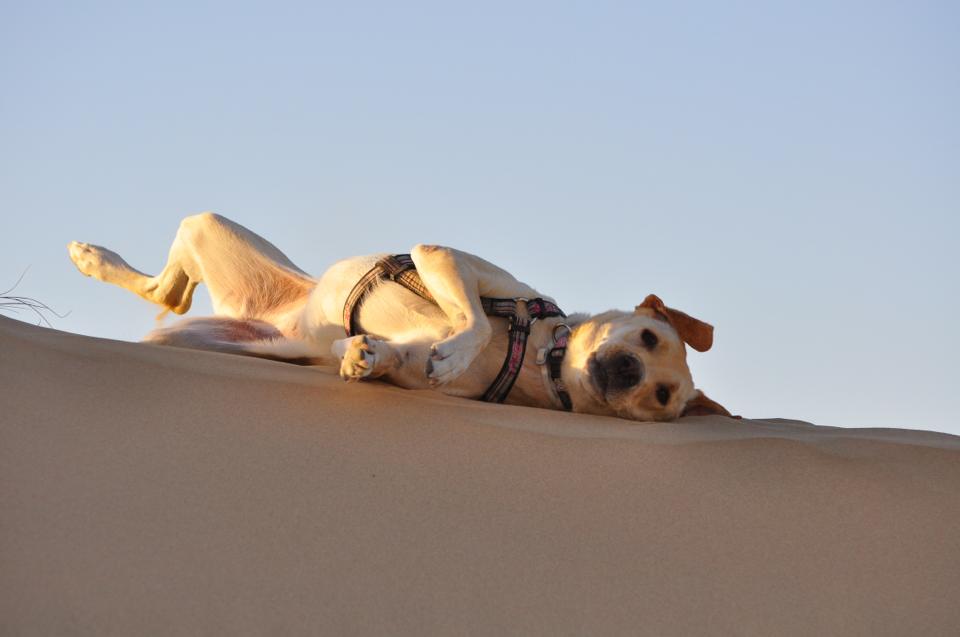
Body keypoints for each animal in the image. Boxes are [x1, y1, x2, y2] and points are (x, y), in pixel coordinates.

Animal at [67, 214, 732, 420]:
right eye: (648, 336)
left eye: (661, 397)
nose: (626, 372)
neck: (538, 358)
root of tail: (281, 317)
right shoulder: (444, 257)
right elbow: (477, 317)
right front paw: (460, 345)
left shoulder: (417, 372)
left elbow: (395, 360)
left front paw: (364, 356)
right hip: (207, 227)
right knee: (169, 284)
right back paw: (90, 257)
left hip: (203, 338)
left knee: (171, 302)